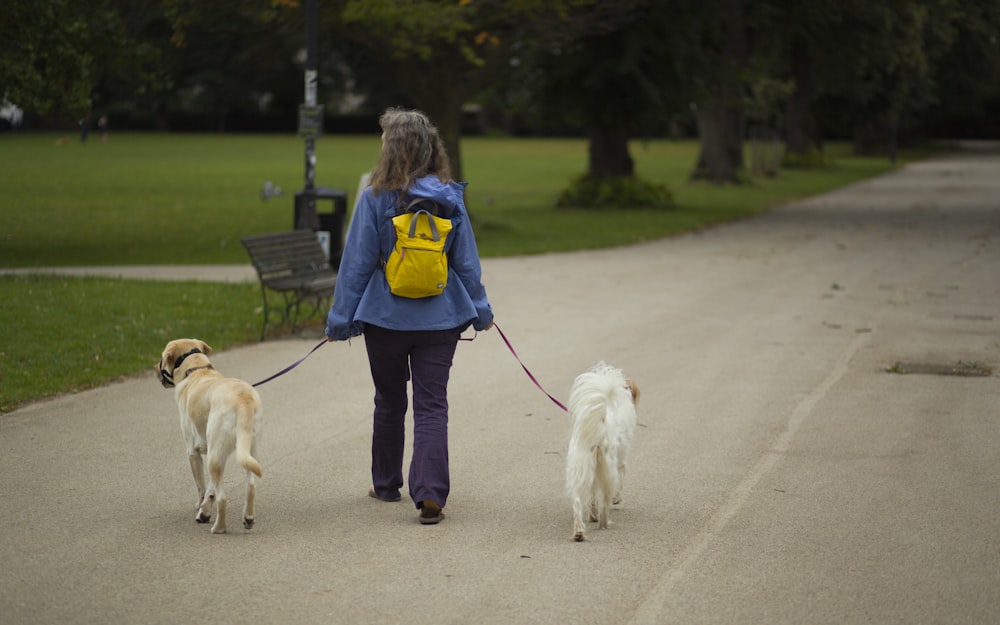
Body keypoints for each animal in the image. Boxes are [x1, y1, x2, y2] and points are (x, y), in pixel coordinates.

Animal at [156, 338, 262, 532]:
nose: (154, 369)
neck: (196, 370)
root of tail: (242, 399)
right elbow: (210, 488)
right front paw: (205, 509)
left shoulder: (193, 453)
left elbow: (202, 488)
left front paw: (202, 509)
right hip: (247, 451)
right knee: (250, 485)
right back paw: (248, 518)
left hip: (214, 455)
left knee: (223, 497)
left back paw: (219, 528)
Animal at [564, 360, 640, 540]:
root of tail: (600, 423)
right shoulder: (621, 462)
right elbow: (619, 485)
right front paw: (616, 500)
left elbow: (591, 495)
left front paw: (591, 515)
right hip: (608, 467)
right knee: (605, 500)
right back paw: (604, 522)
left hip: (578, 467)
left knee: (577, 501)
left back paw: (579, 531)